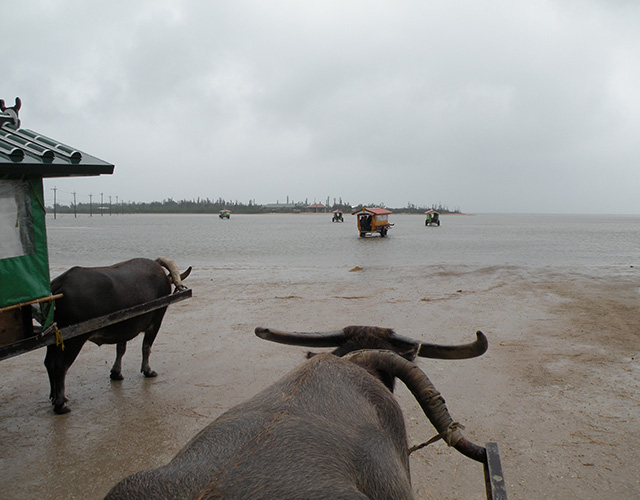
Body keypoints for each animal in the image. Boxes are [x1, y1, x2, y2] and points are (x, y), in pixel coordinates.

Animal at [44, 258, 190, 414]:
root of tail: (60, 284)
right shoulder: (155, 322)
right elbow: (146, 347)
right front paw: (148, 370)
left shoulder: (124, 328)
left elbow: (120, 349)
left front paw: (116, 373)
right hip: (73, 340)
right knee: (60, 366)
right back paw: (60, 404)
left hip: (54, 340)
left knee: (49, 362)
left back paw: (54, 396)